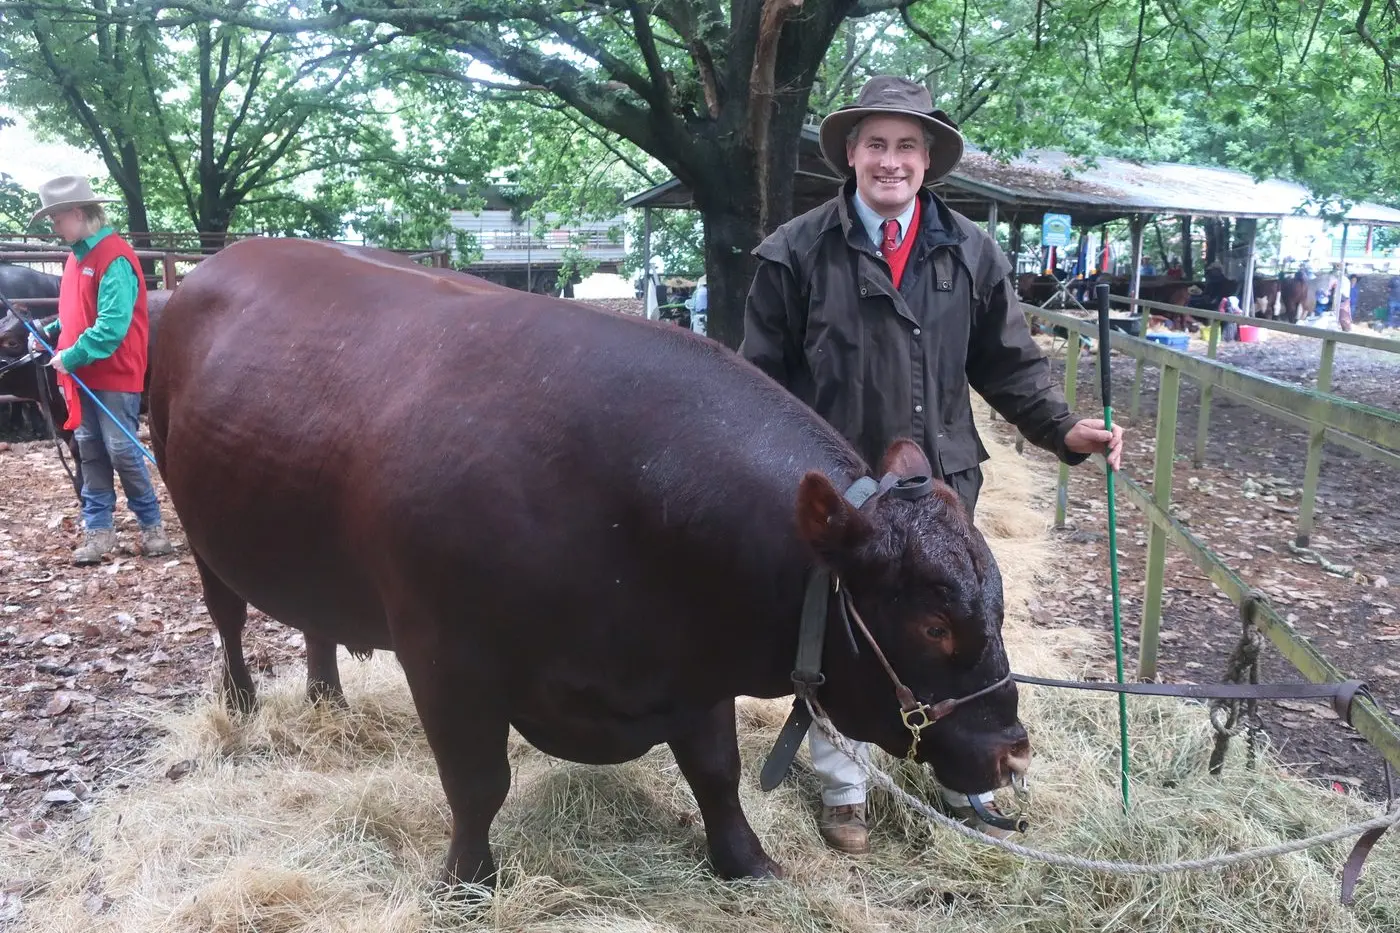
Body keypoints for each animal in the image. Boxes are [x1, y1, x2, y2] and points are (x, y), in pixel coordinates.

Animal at [149, 238, 1030, 887]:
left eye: (996, 602)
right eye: (933, 621)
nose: (1012, 751)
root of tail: (217, 261)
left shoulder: (692, 663)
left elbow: (716, 770)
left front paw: (747, 862)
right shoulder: (445, 657)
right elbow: (477, 783)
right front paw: (466, 880)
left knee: (316, 619)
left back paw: (328, 695)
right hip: (196, 524)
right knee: (227, 614)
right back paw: (241, 700)